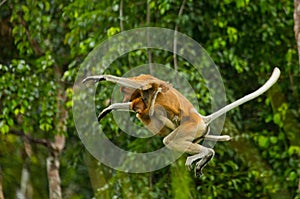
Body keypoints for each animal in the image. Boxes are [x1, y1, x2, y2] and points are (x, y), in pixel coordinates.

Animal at [82, 67, 282, 176]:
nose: (127, 98)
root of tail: (201, 119)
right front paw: (109, 108)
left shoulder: (146, 85)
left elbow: (143, 90)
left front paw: (100, 78)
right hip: (197, 132)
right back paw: (203, 158)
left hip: (190, 127)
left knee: (170, 140)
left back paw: (205, 154)